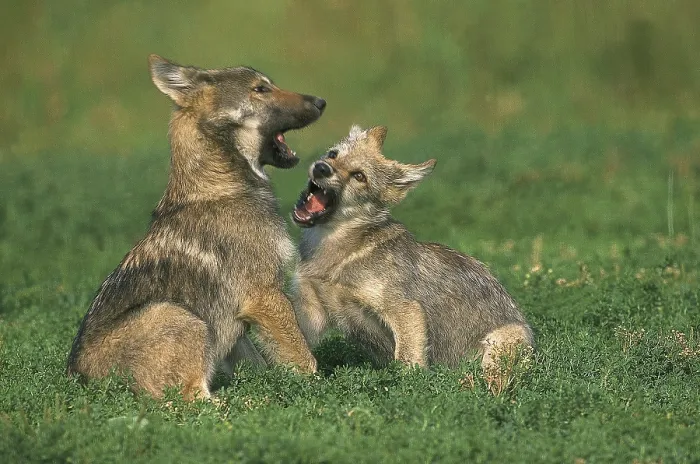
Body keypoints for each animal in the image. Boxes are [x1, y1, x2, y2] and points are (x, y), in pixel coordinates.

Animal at [67, 55, 326, 399]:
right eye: (261, 89)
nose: (322, 101)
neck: (220, 185)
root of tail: (81, 383)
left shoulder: (239, 323)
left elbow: (259, 362)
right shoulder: (264, 295)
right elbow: (306, 361)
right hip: (182, 316)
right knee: (193, 401)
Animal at [290, 125, 533, 371]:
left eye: (359, 176)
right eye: (333, 154)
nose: (321, 168)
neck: (332, 250)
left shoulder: (406, 310)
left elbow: (407, 365)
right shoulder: (311, 310)